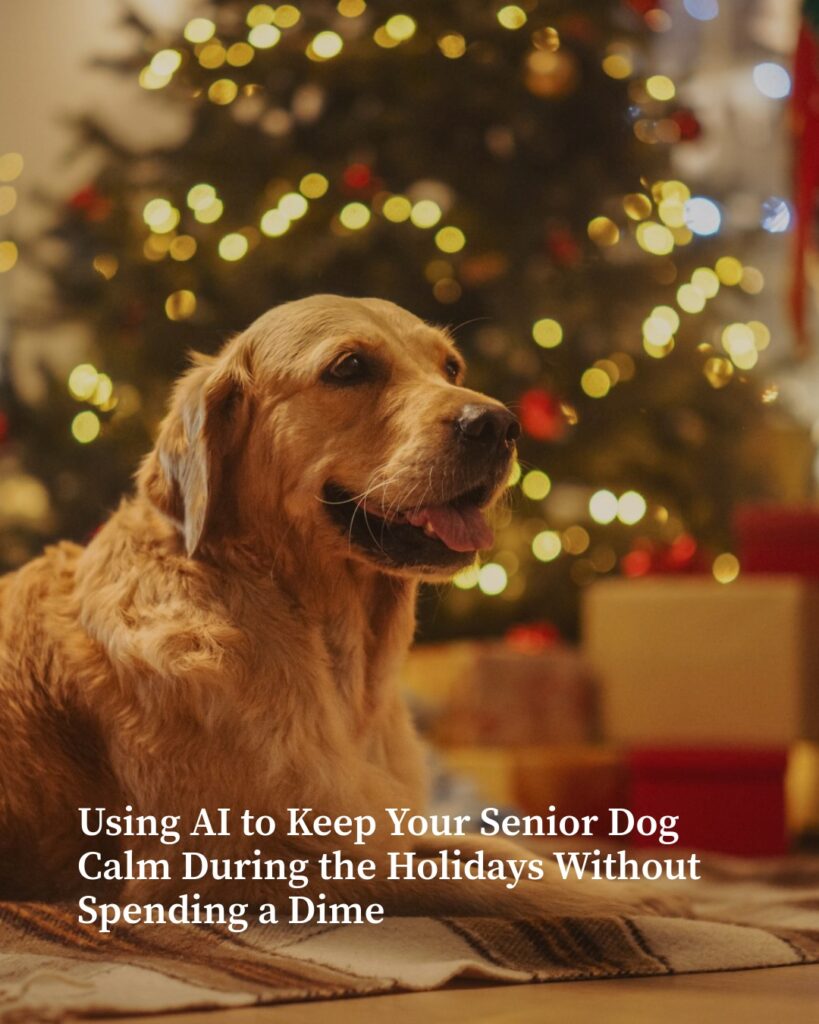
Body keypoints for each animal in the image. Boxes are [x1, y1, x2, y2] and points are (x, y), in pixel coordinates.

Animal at [0, 296, 663, 921]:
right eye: (349, 367)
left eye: (451, 367)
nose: (500, 424)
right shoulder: (215, 865)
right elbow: (472, 882)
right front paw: (628, 903)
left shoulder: (380, 812)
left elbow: (496, 850)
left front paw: (647, 887)